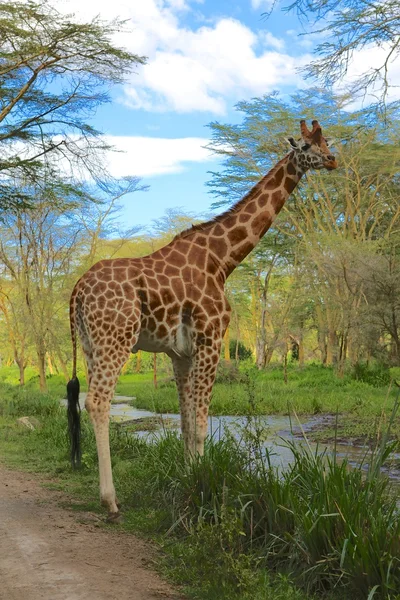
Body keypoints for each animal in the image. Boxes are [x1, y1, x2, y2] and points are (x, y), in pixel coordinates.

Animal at [67, 118, 336, 520]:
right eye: (306, 146)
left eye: (327, 142)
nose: (333, 160)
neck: (223, 258)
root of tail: (77, 291)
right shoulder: (211, 339)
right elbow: (201, 425)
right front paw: (203, 490)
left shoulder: (180, 353)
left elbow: (185, 424)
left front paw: (187, 480)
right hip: (116, 339)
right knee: (98, 402)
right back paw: (110, 500)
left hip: (90, 343)